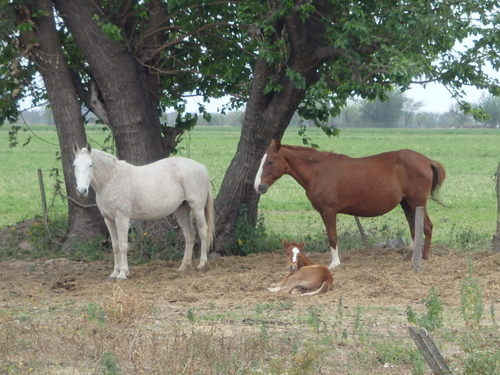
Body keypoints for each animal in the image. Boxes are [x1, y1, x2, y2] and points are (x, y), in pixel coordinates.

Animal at [72, 144, 215, 280]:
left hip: (197, 207)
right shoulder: (109, 219)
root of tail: (202, 167)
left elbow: (123, 245)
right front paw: (114, 273)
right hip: (182, 209)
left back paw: (202, 263)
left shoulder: (122, 218)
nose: (81, 191)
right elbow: (115, 246)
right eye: (74, 165)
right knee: (189, 234)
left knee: (203, 230)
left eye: (90, 165)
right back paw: (184, 266)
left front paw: (122, 274)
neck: (111, 179)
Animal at [254, 140, 446, 268]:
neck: (318, 171)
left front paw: (334, 263)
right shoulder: (325, 213)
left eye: (270, 161)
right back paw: (409, 256)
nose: (258, 186)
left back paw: (424, 256)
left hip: (417, 203)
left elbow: (332, 237)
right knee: (415, 228)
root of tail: (427, 161)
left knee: (426, 227)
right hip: (407, 204)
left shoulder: (329, 211)